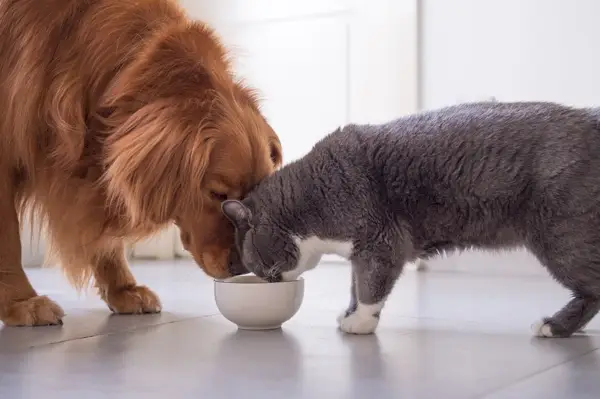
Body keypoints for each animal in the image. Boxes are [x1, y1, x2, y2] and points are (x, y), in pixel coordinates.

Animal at [0, 0, 282, 328]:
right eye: (217, 194)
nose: (241, 267)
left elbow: (105, 239)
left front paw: (123, 289)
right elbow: (8, 239)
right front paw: (22, 302)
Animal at [223, 102, 600, 338]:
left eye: (254, 262)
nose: (267, 280)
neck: (311, 195)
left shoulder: (379, 240)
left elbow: (370, 285)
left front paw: (361, 322)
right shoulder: (358, 252)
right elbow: (355, 285)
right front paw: (349, 313)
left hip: (562, 234)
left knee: (592, 288)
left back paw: (553, 326)